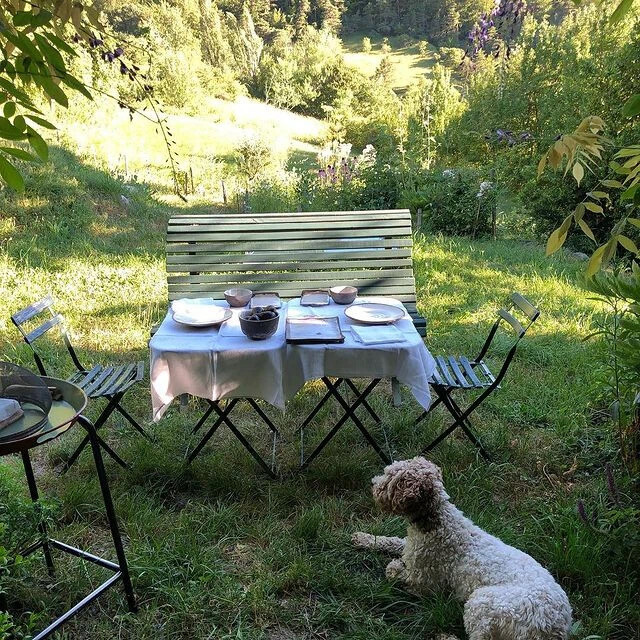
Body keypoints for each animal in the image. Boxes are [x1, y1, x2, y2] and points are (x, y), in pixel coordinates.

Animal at [352, 458, 572, 636]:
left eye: (389, 478)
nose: (372, 483)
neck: (436, 520)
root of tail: (556, 625)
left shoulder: (423, 581)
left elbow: (393, 570)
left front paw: (393, 566)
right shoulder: (410, 547)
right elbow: (391, 541)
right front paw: (363, 538)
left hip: (482, 604)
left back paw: (444, 635)